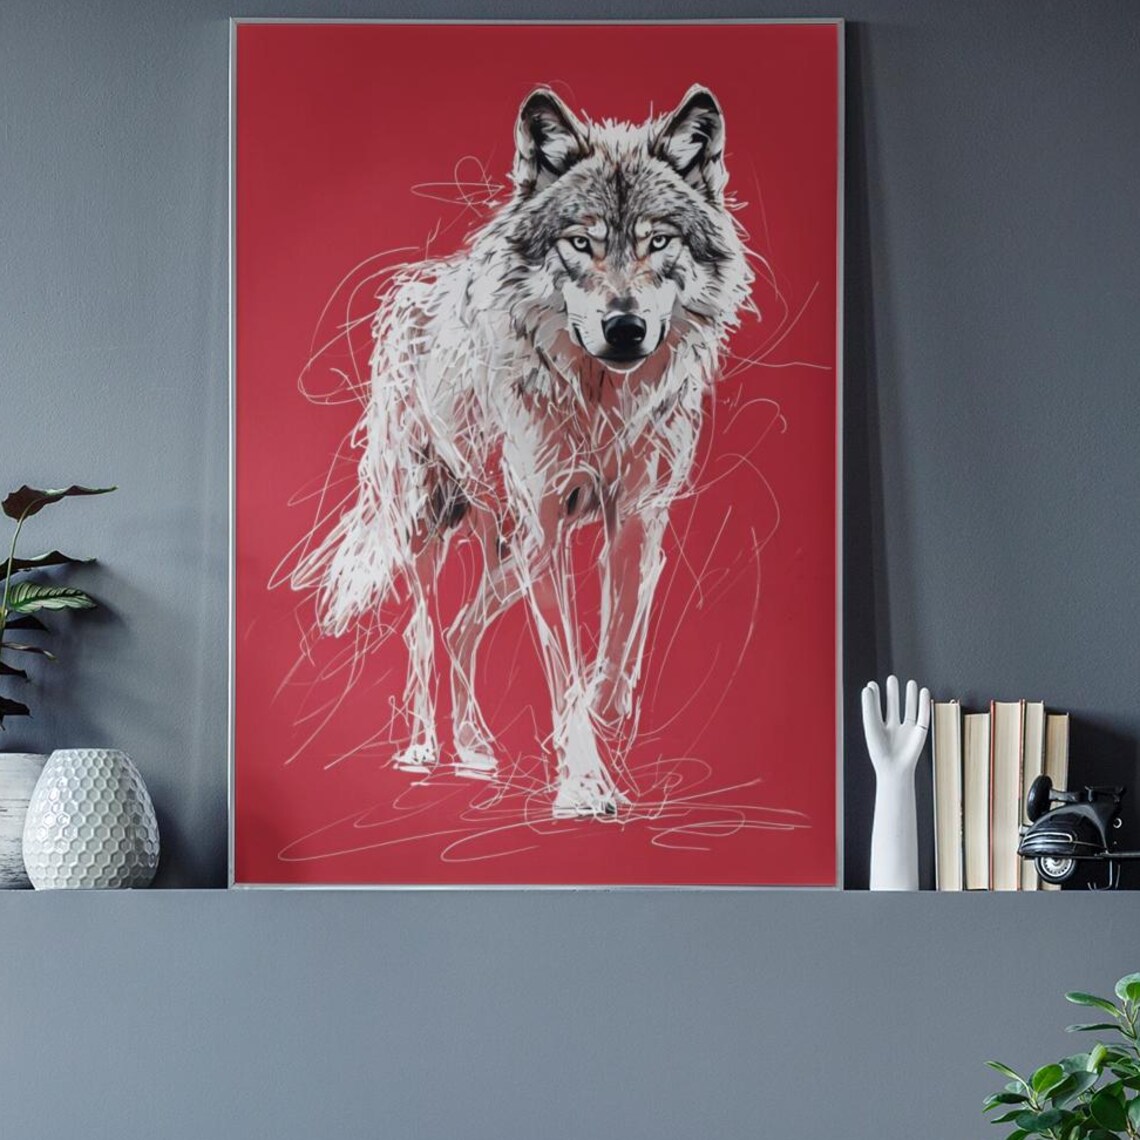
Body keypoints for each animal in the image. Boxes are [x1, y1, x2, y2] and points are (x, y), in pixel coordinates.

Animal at [292, 84, 755, 818]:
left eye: (659, 240)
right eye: (580, 242)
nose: (625, 327)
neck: (602, 404)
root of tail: (409, 288)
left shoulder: (637, 517)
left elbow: (617, 639)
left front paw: (606, 716)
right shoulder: (547, 522)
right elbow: (563, 668)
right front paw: (585, 784)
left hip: (508, 550)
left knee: (462, 630)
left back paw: (475, 745)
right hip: (431, 526)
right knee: (424, 631)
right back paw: (425, 748)